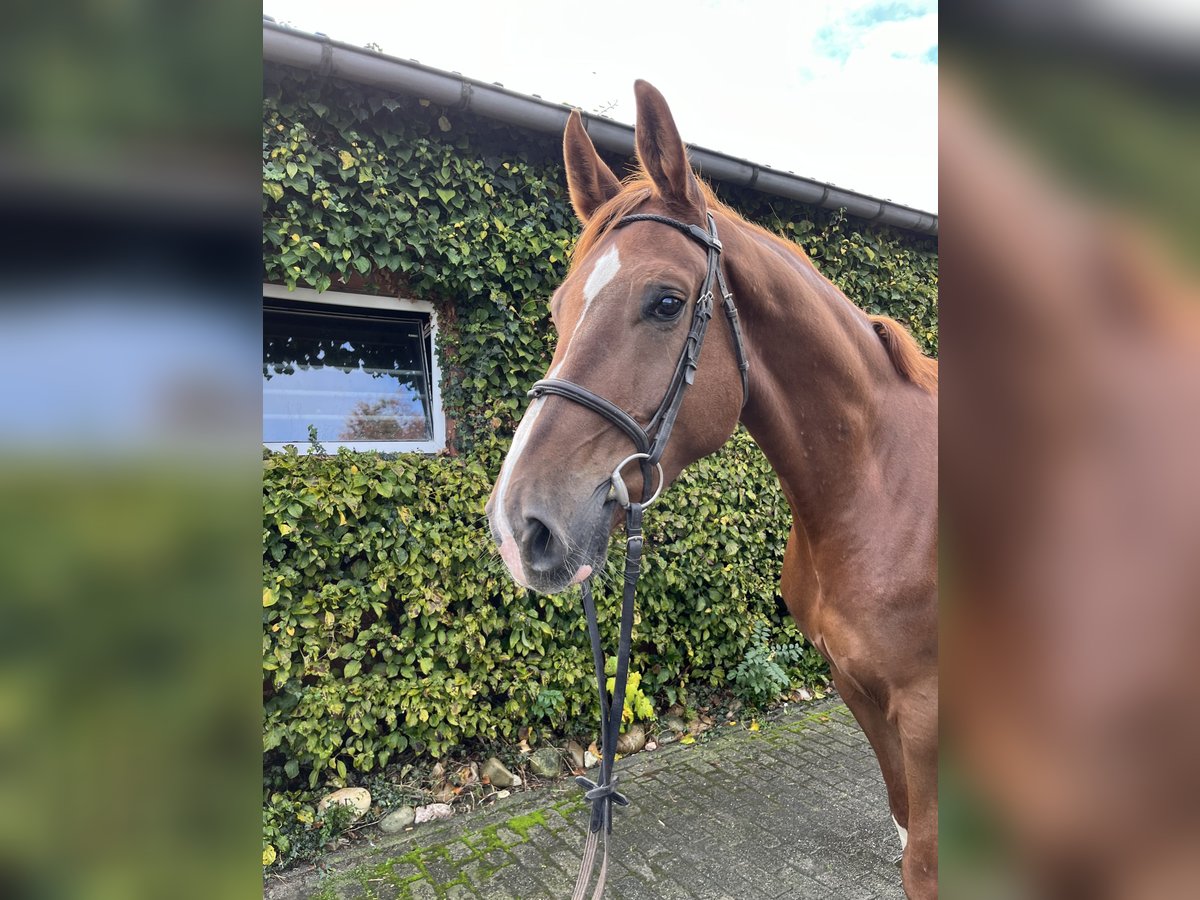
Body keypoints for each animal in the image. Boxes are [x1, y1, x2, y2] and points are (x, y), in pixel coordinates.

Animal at [485, 80, 938, 899]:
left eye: (666, 301)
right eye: (559, 308)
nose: (517, 526)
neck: (883, 497)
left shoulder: (926, 715)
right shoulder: (860, 690)